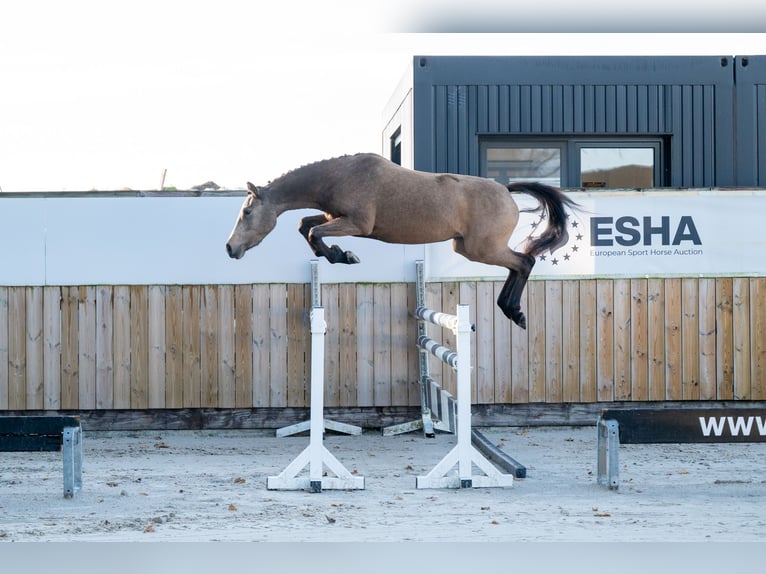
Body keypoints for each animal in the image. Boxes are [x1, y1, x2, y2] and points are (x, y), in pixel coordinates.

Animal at [226, 153, 578, 329]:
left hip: (482, 248)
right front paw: (337, 253)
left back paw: (514, 312)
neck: (339, 176)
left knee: (524, 261)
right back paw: (510, 310)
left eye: (246, 212)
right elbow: (305, 226)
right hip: (468, 247)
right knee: (518, 265)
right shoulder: (332, 217)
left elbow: (312, 232)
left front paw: (343, 255)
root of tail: (506, 190)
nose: (230, 248)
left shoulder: (358, 224)